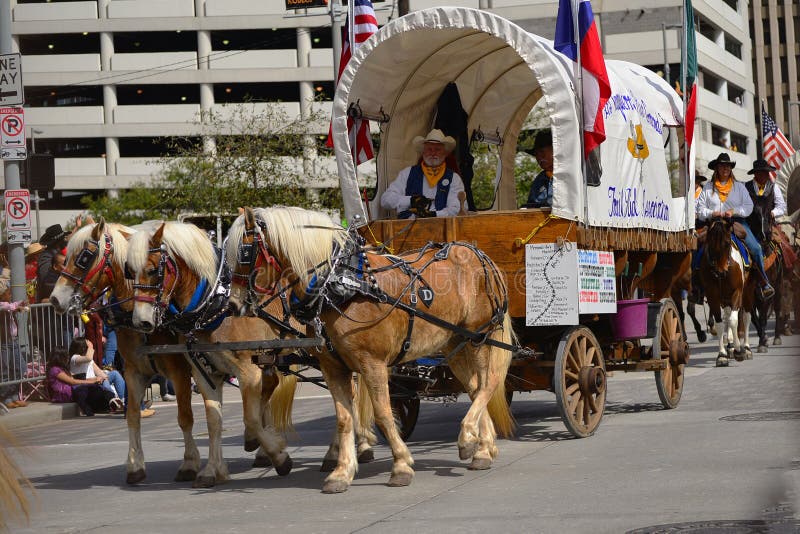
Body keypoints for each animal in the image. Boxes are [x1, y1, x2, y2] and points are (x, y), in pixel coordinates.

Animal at [45, 220, 294, 488]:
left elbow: (185, 417)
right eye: (130, 270)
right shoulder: (134, 372)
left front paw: (190, 464)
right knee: (269, 387)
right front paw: (135, 465)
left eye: (83, 257)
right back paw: (258, 445)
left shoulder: (180, 371)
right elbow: (133, 416)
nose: (55, 299)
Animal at [225, 207, 516, 496]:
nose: (232, 305)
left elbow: (383, 414)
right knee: (476, 388)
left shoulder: (372, 363)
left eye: (244, 253)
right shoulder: (333, 367)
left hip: (479, 337)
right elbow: (344, 418)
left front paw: (401, 464)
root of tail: (478, 254)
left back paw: (468, 437)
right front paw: (341, 472)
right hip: (455, 342)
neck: (340, 284)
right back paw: (482, 447)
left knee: (488, 383)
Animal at [700, 216, 752, 366]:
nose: (720, 272)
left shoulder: (737, 292)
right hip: (725, 298)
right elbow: (719, 323)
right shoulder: (713, 296)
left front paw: (739, 351)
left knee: (746, 316)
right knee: (727, 316)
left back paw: (746, 348)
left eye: (727, 243)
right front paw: (722, 355)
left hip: (747, 291)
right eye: (710, 243)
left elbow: (734, 320)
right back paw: (730, 346)